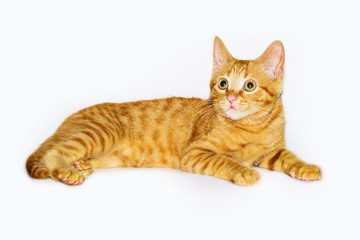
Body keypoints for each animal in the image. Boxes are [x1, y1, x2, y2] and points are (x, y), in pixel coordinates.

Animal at [26, 36, 322, 186]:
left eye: (249, 86)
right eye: (223, 84)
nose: (230, 98)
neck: (252, 126)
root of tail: (66, 121)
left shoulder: (272, 152)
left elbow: (289, 157)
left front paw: (306, 167)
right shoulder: (196, 153)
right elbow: (225, 160)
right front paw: (242, 170)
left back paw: (81, 164)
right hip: (98, 134)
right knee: (53, 153)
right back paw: (66, 170)